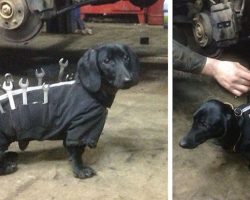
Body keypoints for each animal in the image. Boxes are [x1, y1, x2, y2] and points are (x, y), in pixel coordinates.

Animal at [0, 43, 139, 178]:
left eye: (126, 58)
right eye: (107, 60)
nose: (128, 80)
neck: (88, 91)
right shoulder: (81, 127)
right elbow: (77, 152)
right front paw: (79, 169)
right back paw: (7, 167)